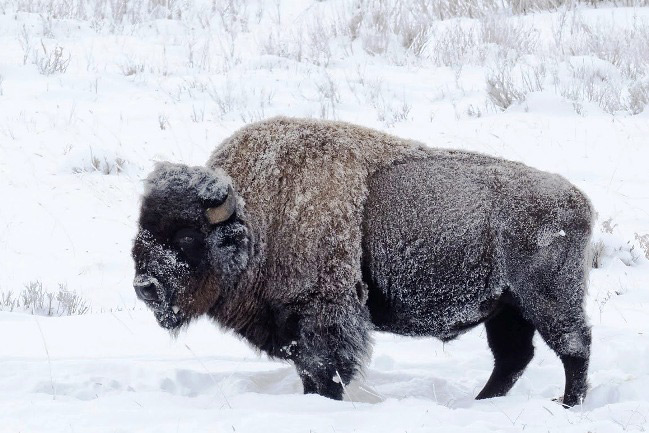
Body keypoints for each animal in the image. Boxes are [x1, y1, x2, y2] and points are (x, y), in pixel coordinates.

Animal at [132, 115, 592, 404]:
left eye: (187, 236)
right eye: (143, 229)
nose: (144, 286)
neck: (257, 217)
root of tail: (577, 199)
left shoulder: (320, 313)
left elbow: (323, 369)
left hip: (548, 301)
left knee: (574, 348)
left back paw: (567, 405)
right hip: (507, 309)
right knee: (513, 359)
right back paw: (481, 404)